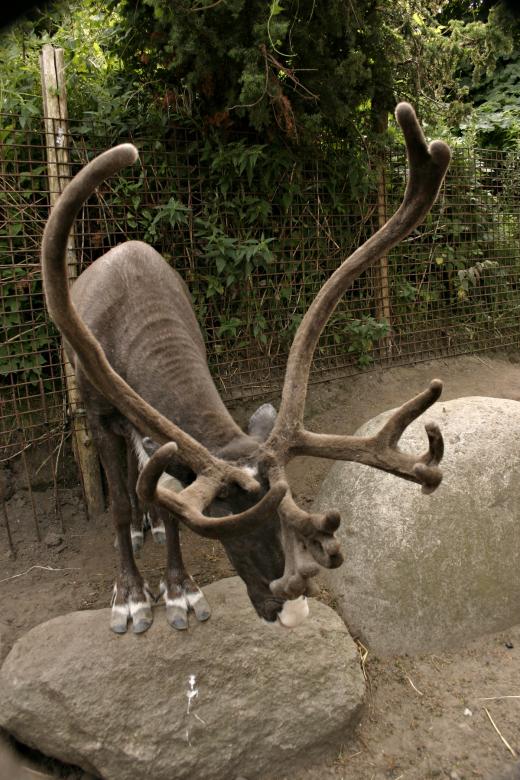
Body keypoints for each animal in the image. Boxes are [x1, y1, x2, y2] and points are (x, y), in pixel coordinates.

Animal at [41, 102, 450, 635]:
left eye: (280, 510)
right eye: (227, 511)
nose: (292, 609)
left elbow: (167, 499)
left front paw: (180, 589)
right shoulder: (97, 413)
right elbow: (121, 506)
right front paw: (131, 597)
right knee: (127, 485)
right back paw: (138, 531)